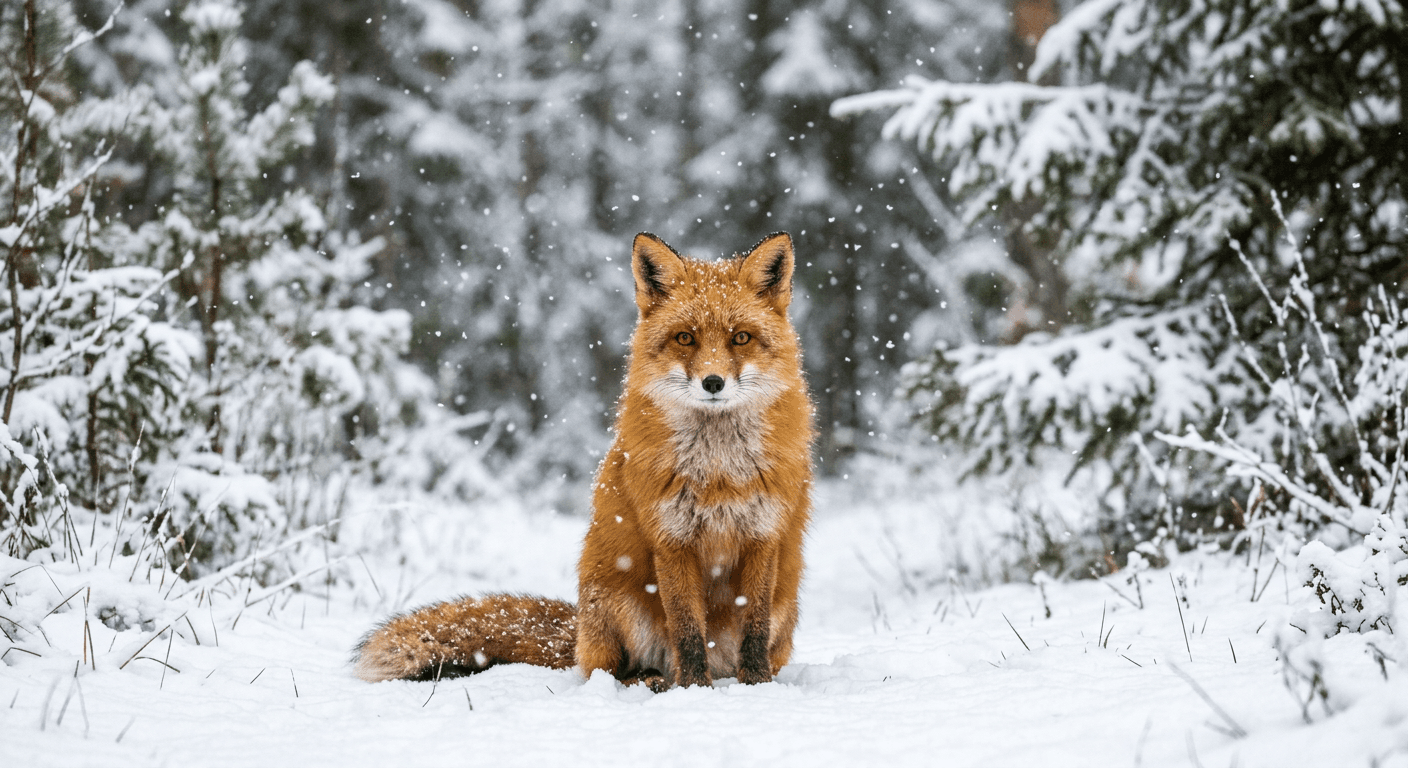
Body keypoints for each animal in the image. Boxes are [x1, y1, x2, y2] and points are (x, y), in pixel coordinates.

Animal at [354, 232, 814, 690]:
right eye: (685, 338)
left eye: (741, 338)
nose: (713, 382)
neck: (718, 472)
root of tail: (577, 632)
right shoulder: (671, 539)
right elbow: (686, 629)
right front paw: (694, 691)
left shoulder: (763, 536)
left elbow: (752, 625)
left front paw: (756, 687)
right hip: (619, 604)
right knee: (610, 670)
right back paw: (653, 680)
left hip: (785, 607)